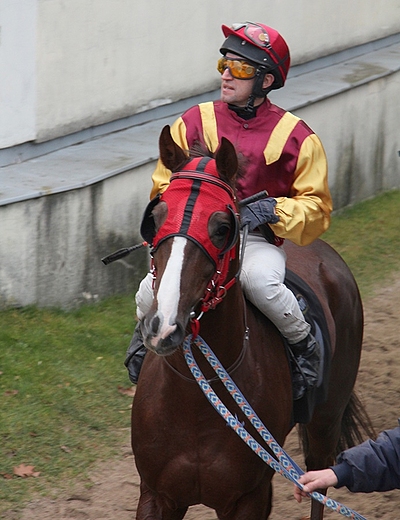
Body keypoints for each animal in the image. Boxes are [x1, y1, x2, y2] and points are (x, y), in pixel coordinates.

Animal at [130, 127, 374, 520]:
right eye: (157, 216)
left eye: (222, 227)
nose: (163, 326)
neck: (196, 398)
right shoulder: (157, 494)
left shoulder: (250, 497)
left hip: (327, 418)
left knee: (321, 479)